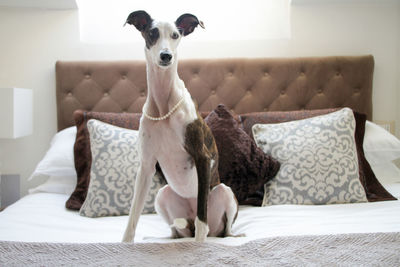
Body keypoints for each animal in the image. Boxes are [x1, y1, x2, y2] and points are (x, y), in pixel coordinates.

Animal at [122, 11, 238, 244]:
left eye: (176, 35)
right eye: (152, 33)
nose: (166, 56)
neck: (163, 107)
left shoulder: (202, 157)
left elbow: (202, 218)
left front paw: (199, 246)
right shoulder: (146, 166)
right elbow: (133, 216)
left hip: (224, 192)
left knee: (219, 227)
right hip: (163, 195)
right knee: (176, 230)